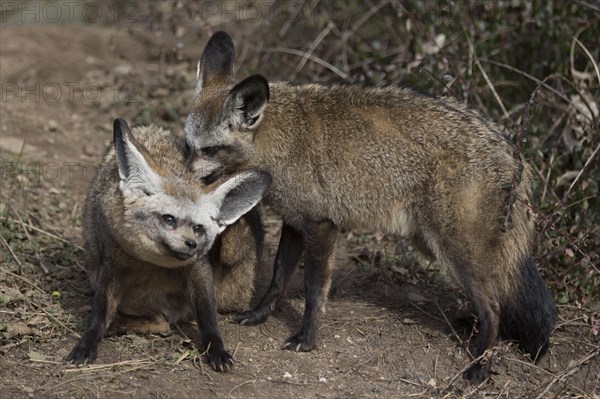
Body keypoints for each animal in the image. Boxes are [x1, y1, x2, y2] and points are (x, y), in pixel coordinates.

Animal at [65, 118, 270, 372]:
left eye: (198, 228)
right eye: (169, 219)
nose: (192, 244)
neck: (155, 265)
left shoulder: (199, 269)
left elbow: (208, 315)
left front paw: (216, 348)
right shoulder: (112, 264)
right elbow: (99, 314)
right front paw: (87, 343)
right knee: (161, 321)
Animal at [184, 32, 556, 384]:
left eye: (208, 150)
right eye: (188, 146)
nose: (182, 183)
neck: (280, 140)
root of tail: (512, 152)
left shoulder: (322, 225)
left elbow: (314, 291)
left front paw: (307, 338)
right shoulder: (295, 221)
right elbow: (277, 278)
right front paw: (259, 315)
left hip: (454, 253)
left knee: (494, 308)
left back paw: (479, 367)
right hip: (438, 246)